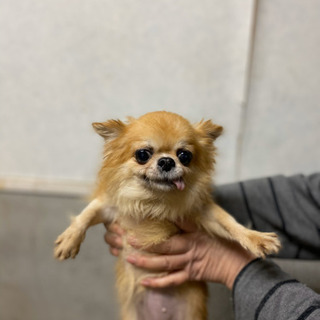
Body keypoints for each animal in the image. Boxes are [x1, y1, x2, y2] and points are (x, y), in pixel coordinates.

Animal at [55, 110, 280, 320]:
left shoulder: (203, 211)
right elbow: (86, 214)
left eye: (185, 156)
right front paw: (69, 240)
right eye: (143, 154)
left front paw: (257, 238)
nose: (166, 161)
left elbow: (230, 223)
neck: (154, 202)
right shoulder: (109, 207)